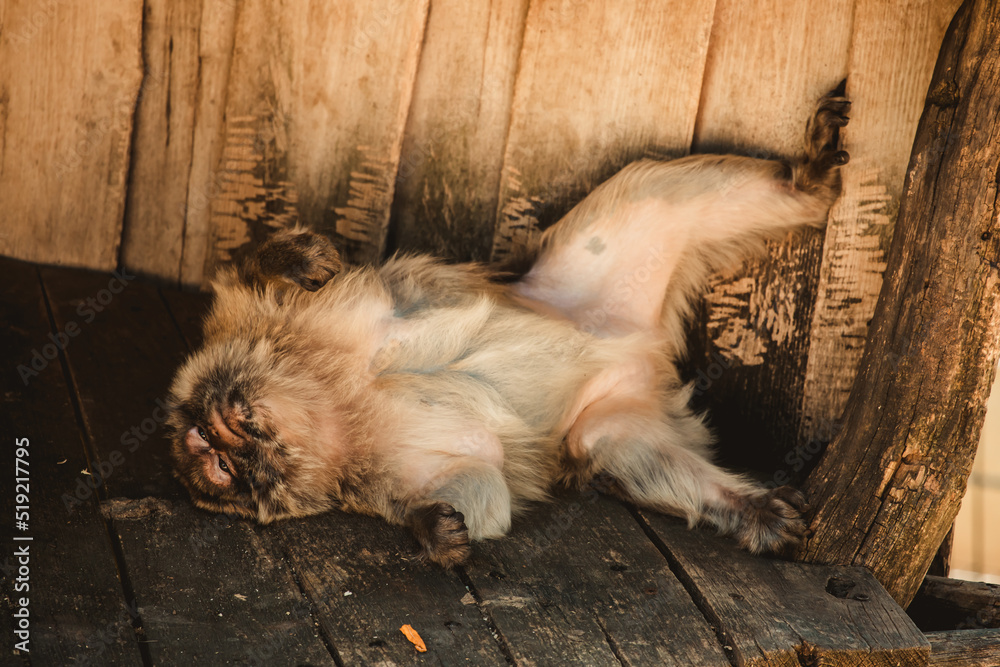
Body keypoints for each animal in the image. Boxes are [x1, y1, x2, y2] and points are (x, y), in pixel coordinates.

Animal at [166, 83, 852, 568]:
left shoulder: (260, 319)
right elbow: (481, 488)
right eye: (224, 471)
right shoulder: (371, 476)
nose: (233, 448)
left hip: (582, 277)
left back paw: (809, 183)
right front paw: (428, 528)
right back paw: (746, 509)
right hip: (615, 405)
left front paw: (293, 258)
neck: (335, 398)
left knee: (654, 190)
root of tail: (641, 351)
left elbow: (250, 277)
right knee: (618, 447)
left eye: (216, 443)